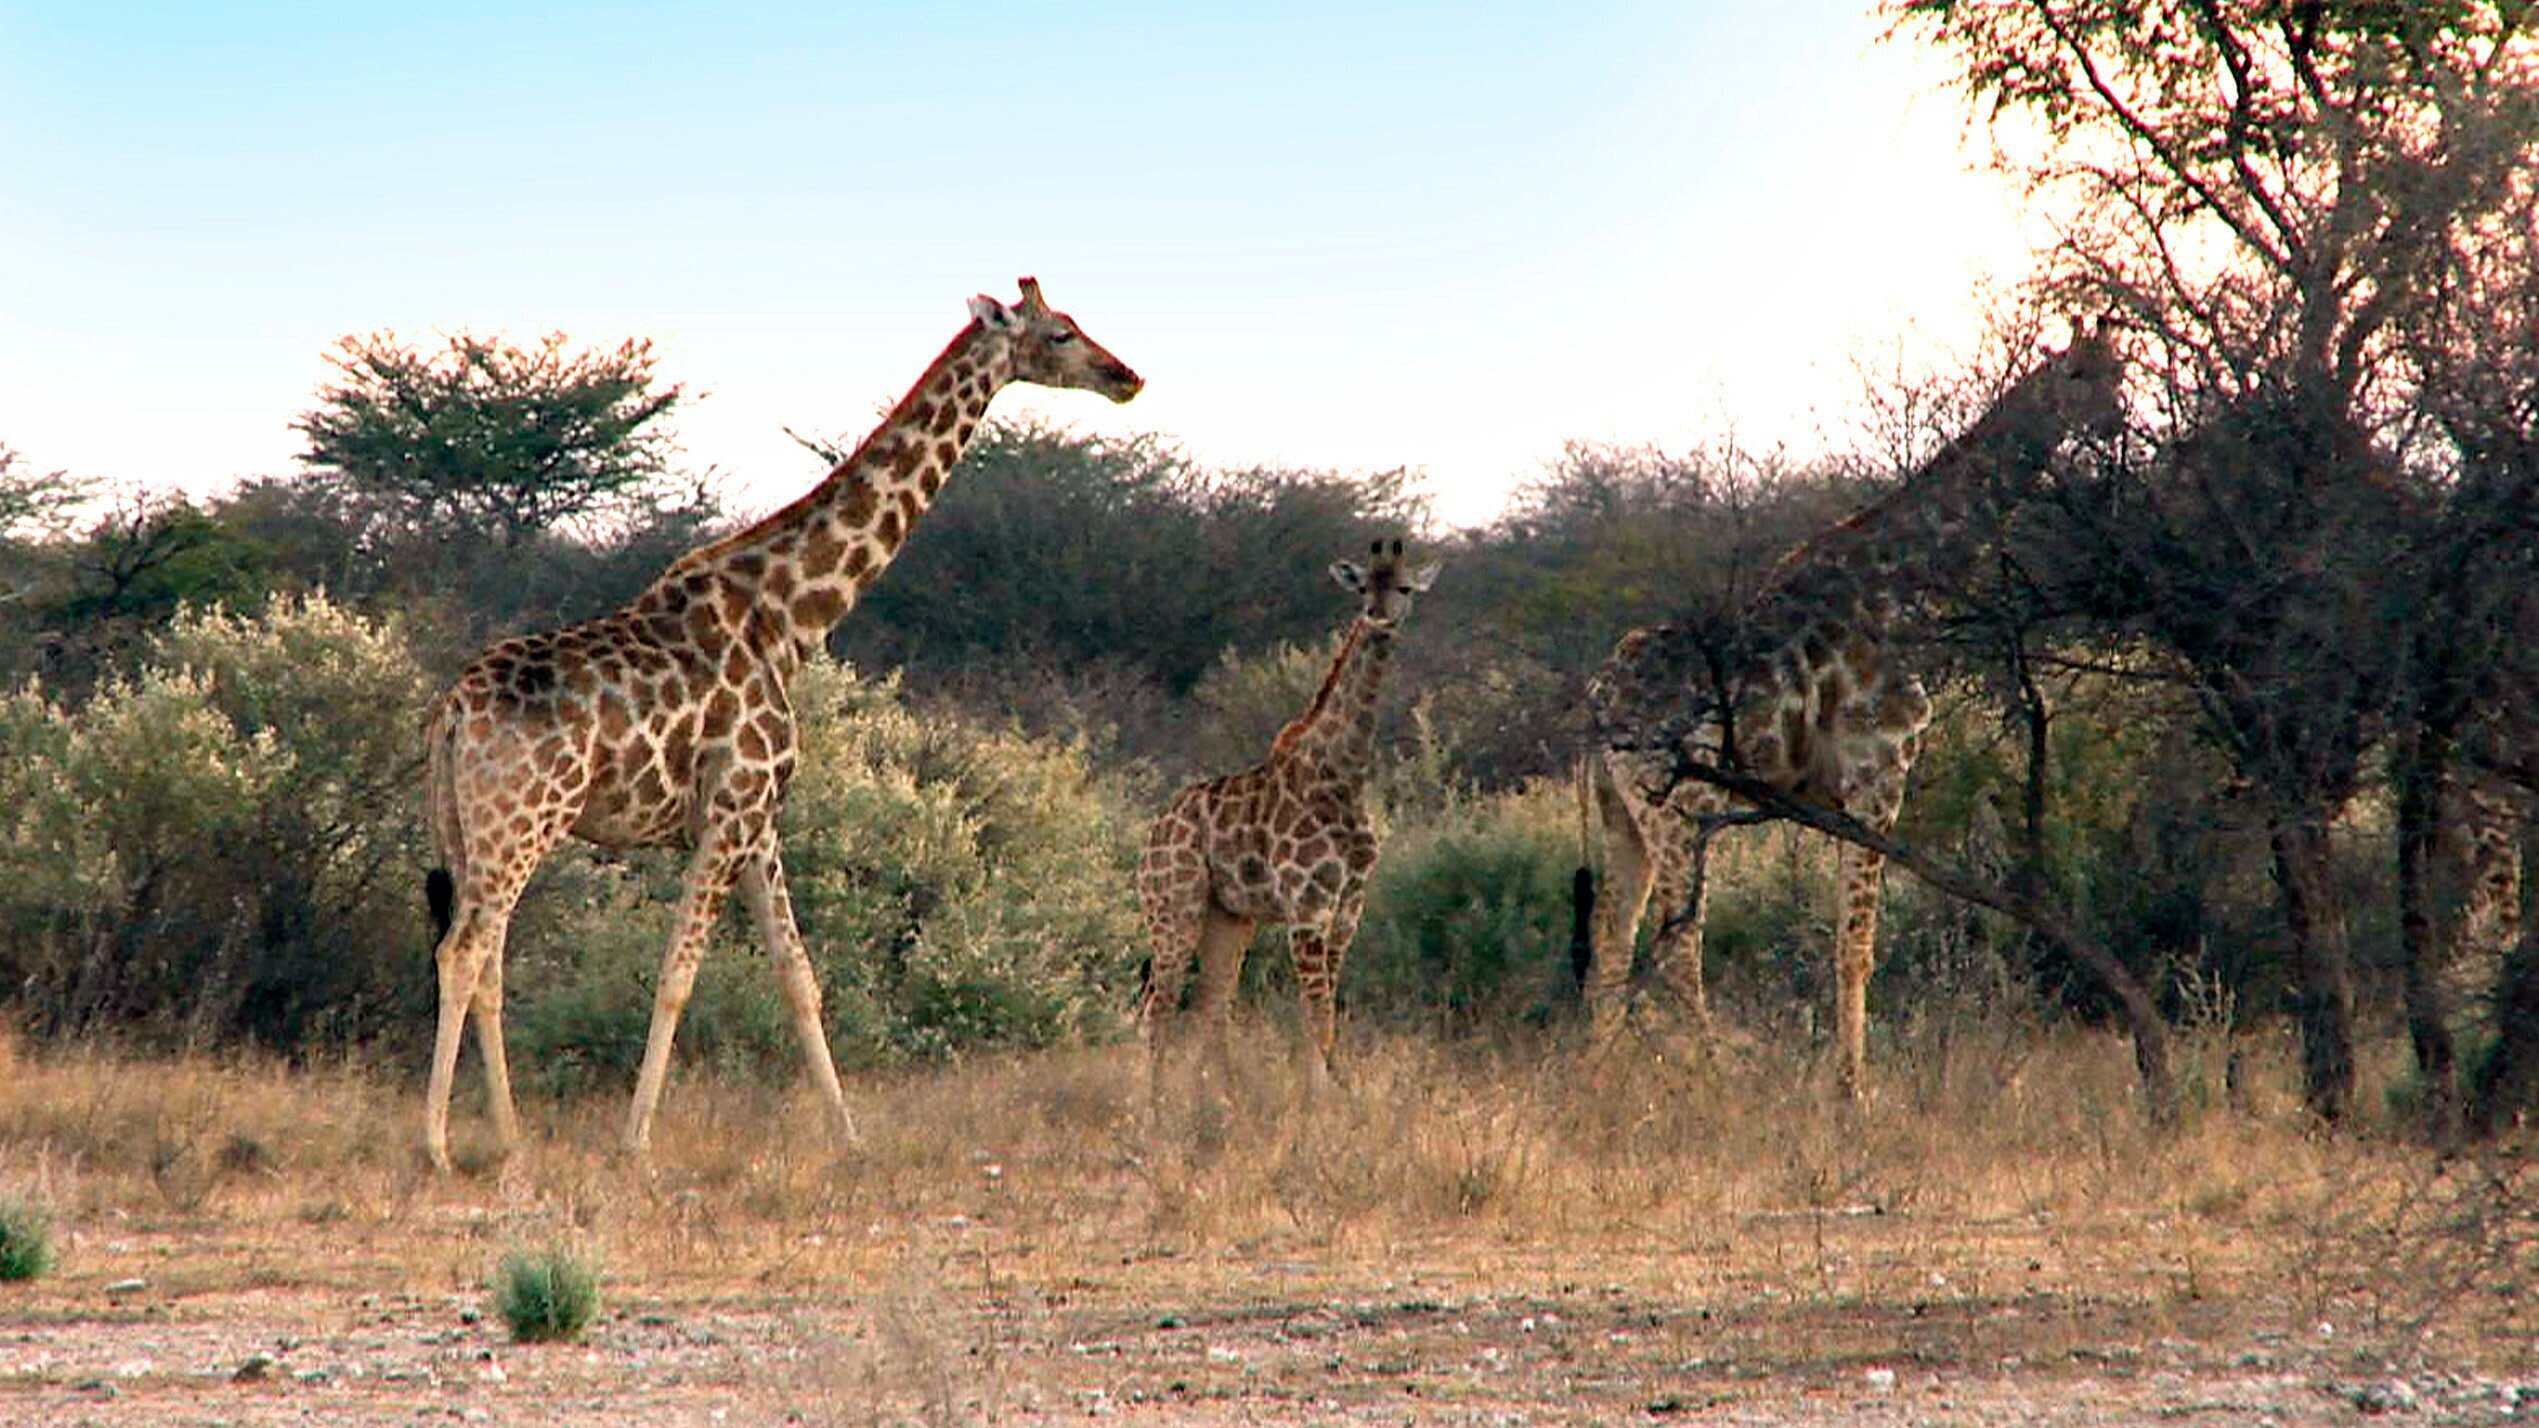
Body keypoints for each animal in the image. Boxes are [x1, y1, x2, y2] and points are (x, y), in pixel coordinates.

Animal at [424, 275, 1142, 1168]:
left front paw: (851, 1138)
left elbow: (799, 976)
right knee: (462, 952)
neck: (791, 617)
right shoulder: (731, 811)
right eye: (1060, 334)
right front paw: (637, 1145)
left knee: (486, 960)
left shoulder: (760, 822)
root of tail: (453, 711)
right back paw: (437, 1145)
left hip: (471, 829)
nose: (1126, 377)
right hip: (522, 821)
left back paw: (511, 1139)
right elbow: (677, 977)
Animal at [1137, 533, 1442, 1087]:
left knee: (1209, 1008)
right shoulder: (1306, 906)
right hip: (1174, 907)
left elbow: (1326, 1017)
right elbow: (1317, 1017)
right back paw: (1151, 1103)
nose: (1377, 617)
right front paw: (1322, 1096)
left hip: (1229, 917)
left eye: (1405, 587)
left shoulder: (1348, 907)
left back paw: (1212, 1098)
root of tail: (1152, 832)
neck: (1342, 775)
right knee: (1158, 1008)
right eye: (1363, 586)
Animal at [1584, 322, 2122, 1087]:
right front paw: (1853, 1093)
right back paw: (1718, 1078)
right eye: (2083, 374)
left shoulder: (1841, 797)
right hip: (1678, 809)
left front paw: (1847, 1083)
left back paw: (1591, 1079)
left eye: (2121, 370)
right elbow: (1857, 948)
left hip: (1622, 811)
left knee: (1611, 934)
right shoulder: (1878, 777)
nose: (2116, 422)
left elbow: (1846, 942)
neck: (1901, 591)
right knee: (1679, 946)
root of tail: (1598, 700)